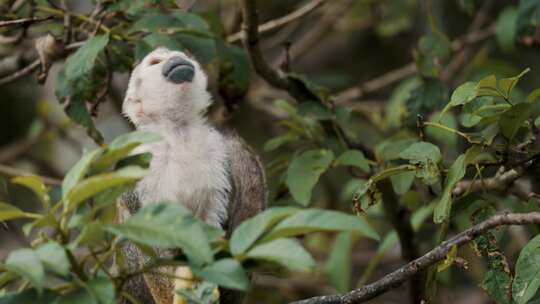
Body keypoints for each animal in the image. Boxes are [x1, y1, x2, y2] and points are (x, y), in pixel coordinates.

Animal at [120, 47, 268, 304]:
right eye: (155, 62)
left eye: (179, 55)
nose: (176, 59)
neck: (177, 130)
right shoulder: (138, 157)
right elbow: (148, 229)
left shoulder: (216, 146)